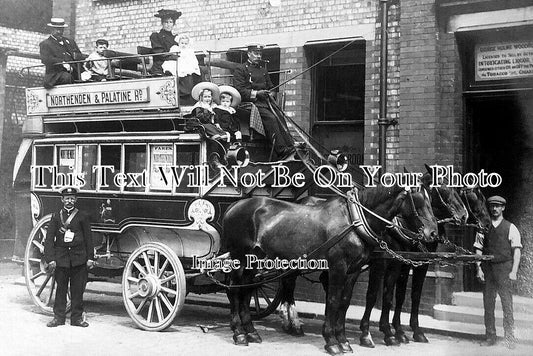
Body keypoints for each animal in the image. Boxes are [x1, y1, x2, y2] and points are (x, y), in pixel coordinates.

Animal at [223, 185, 436, 354]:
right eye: (419, 200)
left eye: (431, 200)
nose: (433, 233)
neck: (353, 219)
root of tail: (234, 206)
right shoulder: (337, 268)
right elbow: (333, 301)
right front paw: (332, 342)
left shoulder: (353, 270)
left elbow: (344, 302)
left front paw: (343, 340)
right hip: (239, 257)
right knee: (234, 290)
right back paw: (239, 333)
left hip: (255, 261)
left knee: (247, 290)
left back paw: (251, 332)